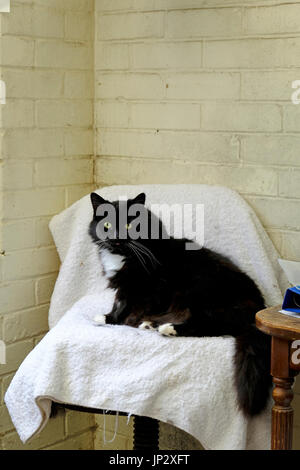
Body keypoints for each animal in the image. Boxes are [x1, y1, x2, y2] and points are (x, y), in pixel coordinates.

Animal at [88, 191, 272, 414]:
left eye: (128, 225)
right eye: (106, 225)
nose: (115, 238)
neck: (123, 255)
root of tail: (258, 307)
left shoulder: (148, 287)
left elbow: (132, 306)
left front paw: (122, 320)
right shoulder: (125, 289)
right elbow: (119, 304)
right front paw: (108, 318)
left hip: (199, 294)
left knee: (208, 326)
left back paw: (168, 328)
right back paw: (151, 324)